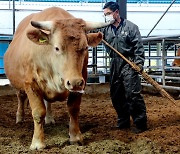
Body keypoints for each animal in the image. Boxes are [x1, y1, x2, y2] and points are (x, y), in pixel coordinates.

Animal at [3, 6, 112, 150]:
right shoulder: (30, 83)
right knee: (20, 97)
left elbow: (73, 109)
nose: (75, 82)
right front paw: (37, 143)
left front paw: (75, 137)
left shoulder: (81, 79)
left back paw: (49, 119)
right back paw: (20, 118)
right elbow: (38, 112)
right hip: (18, 84)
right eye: (57, 48)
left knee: (47, 102)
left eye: (85, 47)